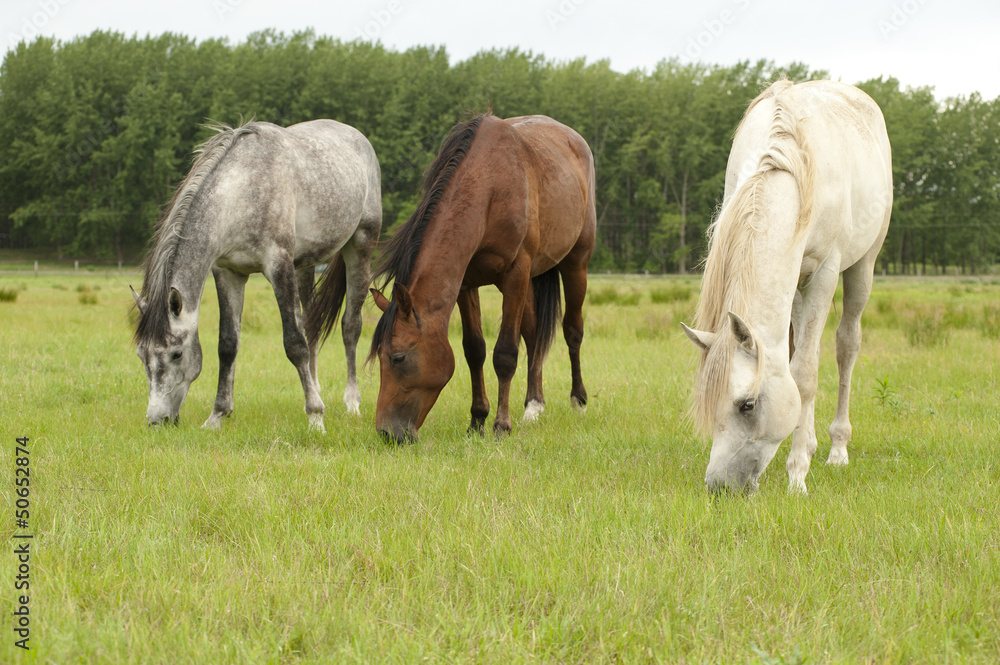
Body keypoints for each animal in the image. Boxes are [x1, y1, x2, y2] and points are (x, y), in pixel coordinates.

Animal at [131, 119, 381, 433]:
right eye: (141, 355)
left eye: (176, 353)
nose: (157, 420)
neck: (242, 191)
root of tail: (358, 136)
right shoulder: (229, 273)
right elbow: (228, 344)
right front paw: (217, 415)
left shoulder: (278, 267)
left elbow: (294, 344)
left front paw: (316, 418)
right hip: (304, 266)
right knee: (310, 324)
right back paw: (316, 389)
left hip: (360, 246)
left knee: (350, 326)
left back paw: (351, 403)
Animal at [367, 113, 596, 443]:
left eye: (398, 357)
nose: (387, 432)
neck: (490, 187)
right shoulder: (466, 282)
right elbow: (474, 350)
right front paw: (477, 420)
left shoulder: (515, 274)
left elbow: (505, 353)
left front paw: (501, 425)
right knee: (533, 335)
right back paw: (534, 405)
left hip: (576, 263)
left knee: (572, 330)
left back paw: (578, 400)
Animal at [681, 80, 892, 494]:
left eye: (747, 405)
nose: (719, 486)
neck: (785, 164)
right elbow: (795, 366)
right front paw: (799, 454)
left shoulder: (824, 273)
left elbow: (805, 374)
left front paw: (798, 474)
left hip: (863, 266)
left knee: (846, 345)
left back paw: (836, 449)